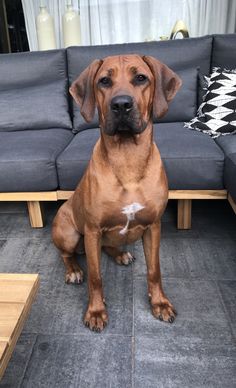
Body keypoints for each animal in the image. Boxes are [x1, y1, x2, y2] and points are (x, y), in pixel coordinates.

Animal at [51, 54, 181, 332]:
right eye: (104, 81)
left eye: (141, 78)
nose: (121, 104)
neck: (127, 159)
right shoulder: (91, 230)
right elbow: (96, 277)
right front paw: (96, 311)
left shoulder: (153, 226)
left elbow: (155, 270)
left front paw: (160, 303)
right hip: (69, 232)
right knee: (68, 254)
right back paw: (74, 270)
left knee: (108, 247)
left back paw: (120, 254)